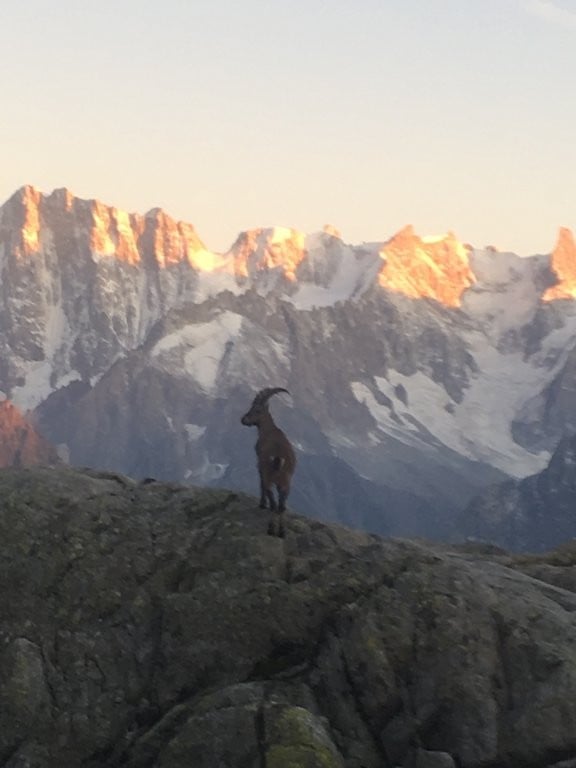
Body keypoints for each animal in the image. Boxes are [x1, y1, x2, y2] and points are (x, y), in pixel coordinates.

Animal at [240, 387, 296, 537]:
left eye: (257, 410)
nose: (243, 419)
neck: (269, 429)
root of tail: (278, 458)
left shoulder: (259, 465)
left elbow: (260, 484)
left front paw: (262, 504)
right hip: (286, 482)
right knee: (281, 506)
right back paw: (281, 532)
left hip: (269, 477)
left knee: (274, 502)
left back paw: (271, 529)